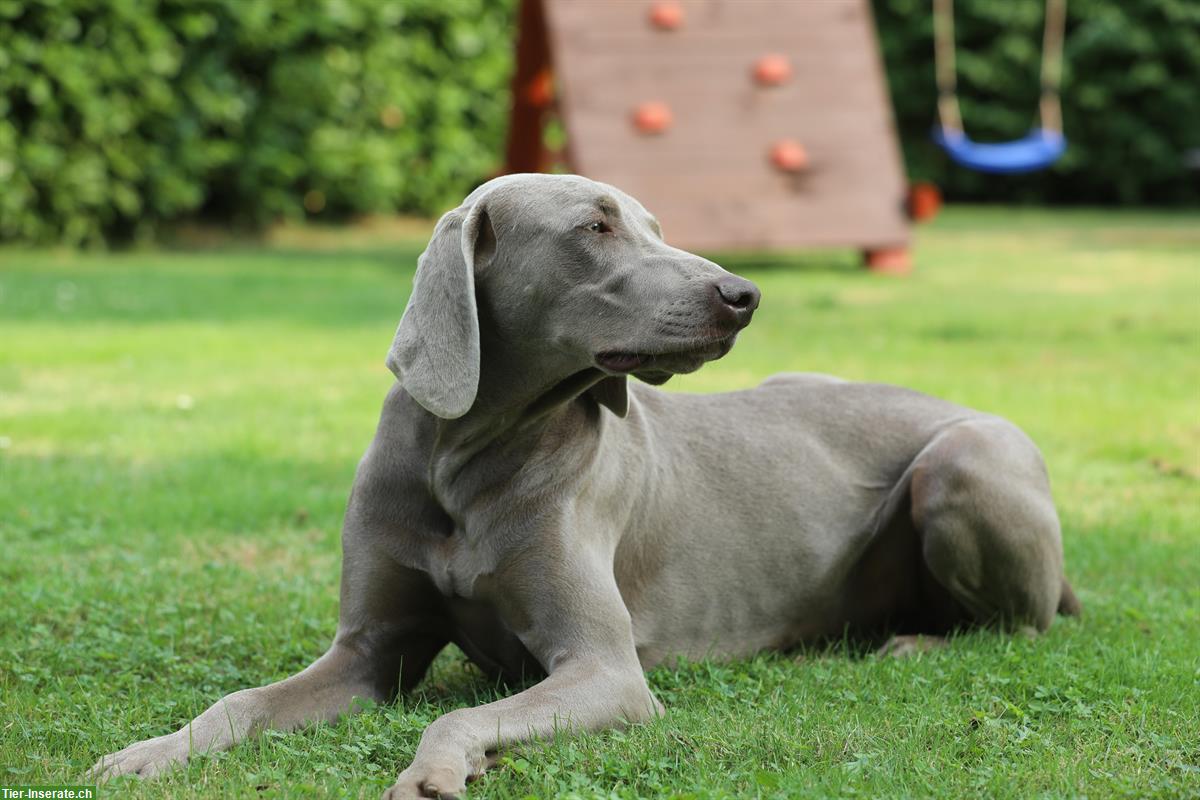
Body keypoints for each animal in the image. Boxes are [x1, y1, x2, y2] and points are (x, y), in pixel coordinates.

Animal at [87, 176, 1080, 800]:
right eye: (594, 227)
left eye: (653, 224)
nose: (743, 293)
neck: (468, 457)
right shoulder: (368, 652)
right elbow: (240, 702)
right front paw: (148, 754)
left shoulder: (607, 672)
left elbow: (464, 715)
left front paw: (439, 773)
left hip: (966, 461)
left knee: (1024, 625)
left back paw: (912, 642)